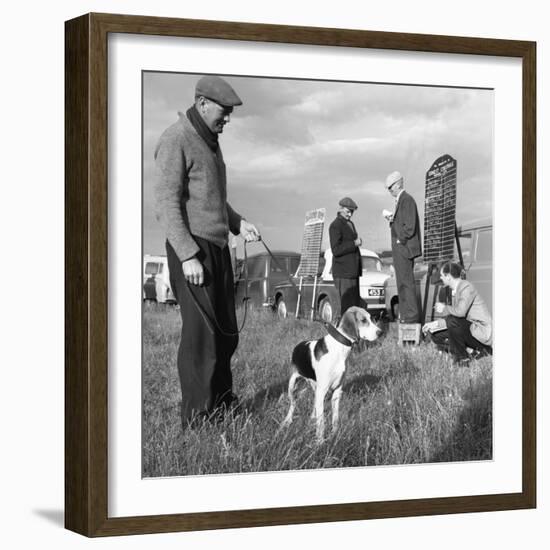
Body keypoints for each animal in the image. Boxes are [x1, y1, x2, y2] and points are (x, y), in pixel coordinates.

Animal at [282, 306, 382, 444]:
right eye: (363, 320)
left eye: (371, 318)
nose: (380, 332)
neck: (339, 348)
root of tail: (298, 345)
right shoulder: (323, 390)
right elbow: (322, 422)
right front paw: (320, 442)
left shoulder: (337, 391)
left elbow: (335, 417)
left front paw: (335, 434)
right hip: (292, 386)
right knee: (293, 404)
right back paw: (287, 421)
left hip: (316, 388)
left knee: (314, 404)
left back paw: (312, 418)